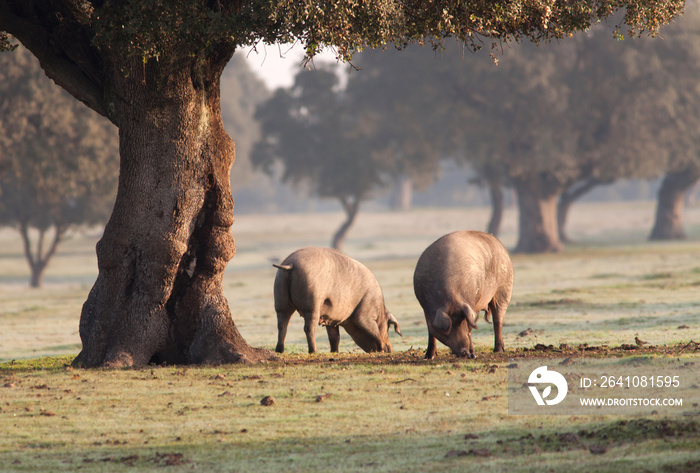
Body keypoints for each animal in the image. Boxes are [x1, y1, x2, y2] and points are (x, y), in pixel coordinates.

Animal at [274, 245, 404, 352]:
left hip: (280, 299)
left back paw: (279, 351)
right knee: (309, 328)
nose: (390, 349)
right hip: (312, 304)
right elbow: (371, 328)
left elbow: (334, 337)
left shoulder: (331, 318)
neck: (379, 310)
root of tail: (291, 264)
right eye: (388, 327)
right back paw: (314, 351)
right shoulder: (365, 313)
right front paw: (382, 348)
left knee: (282, 325)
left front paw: (334, 352)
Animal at [410, 230, 516, 358]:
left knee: (498, 319)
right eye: (448, 329)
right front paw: (428, 357)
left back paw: (498, 350)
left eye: (462, 322)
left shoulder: (471, 305)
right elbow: (431, 332)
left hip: (504, 287)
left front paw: (473, 354)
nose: (464, 352)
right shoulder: (426, 308)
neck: (450, 298)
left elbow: (470, 329)